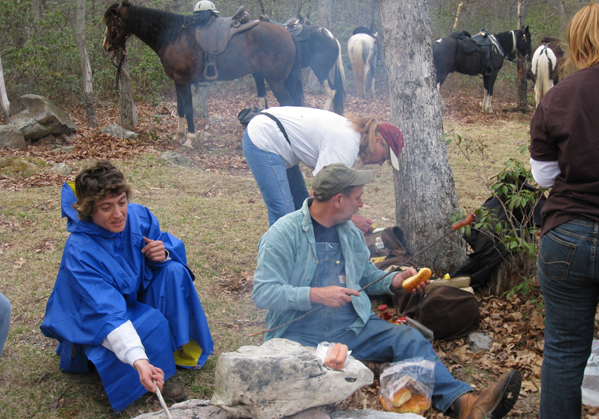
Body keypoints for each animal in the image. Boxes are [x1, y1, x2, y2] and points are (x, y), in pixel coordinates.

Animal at [102, 1, 302, 148]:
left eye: (112, 22)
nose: (107, 46)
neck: (174, 36)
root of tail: (288, 33)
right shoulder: (178, 82)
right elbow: (181, 108)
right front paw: (179, 136)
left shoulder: (184, 82)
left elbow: (189, 109)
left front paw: (190, 139)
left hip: (276, 81)